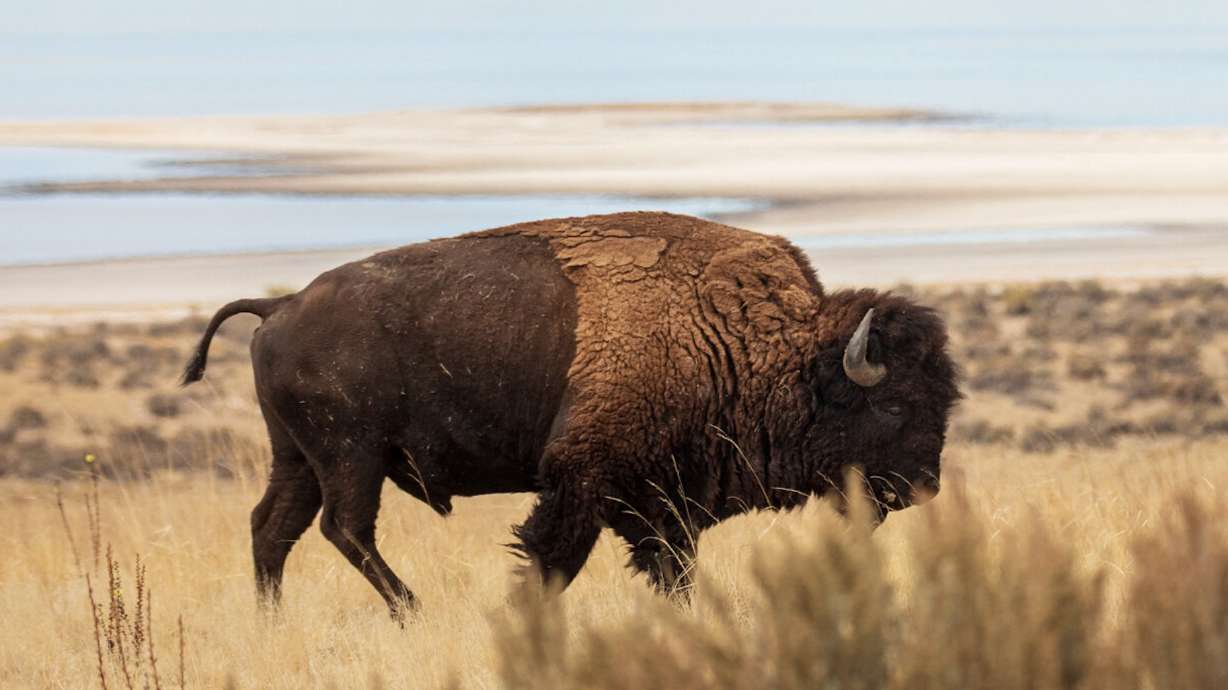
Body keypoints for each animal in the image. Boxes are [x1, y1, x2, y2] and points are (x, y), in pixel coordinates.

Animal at [182, 211, 959, 615]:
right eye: (893, 402)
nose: (923, 487)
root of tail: (280, 306)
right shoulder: (583, 481)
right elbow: (554, 557)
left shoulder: (661, 501)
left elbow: (671, 567)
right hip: (351, 455)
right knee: (343, 529)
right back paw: (413, 610)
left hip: (299, 455)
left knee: (274, 528)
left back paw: (274, 619)